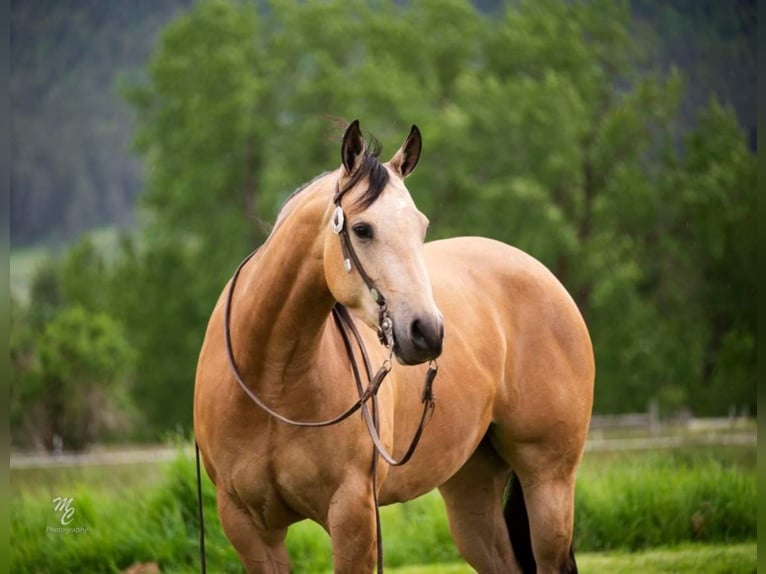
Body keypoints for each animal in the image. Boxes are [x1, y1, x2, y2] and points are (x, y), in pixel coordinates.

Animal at [195, 119, 596, 572]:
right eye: (362, 229)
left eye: (420, 228)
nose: (427, 331)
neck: (272, 382)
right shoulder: (248, 527)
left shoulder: (353, 515)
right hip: (472, 492)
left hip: (548, 483)